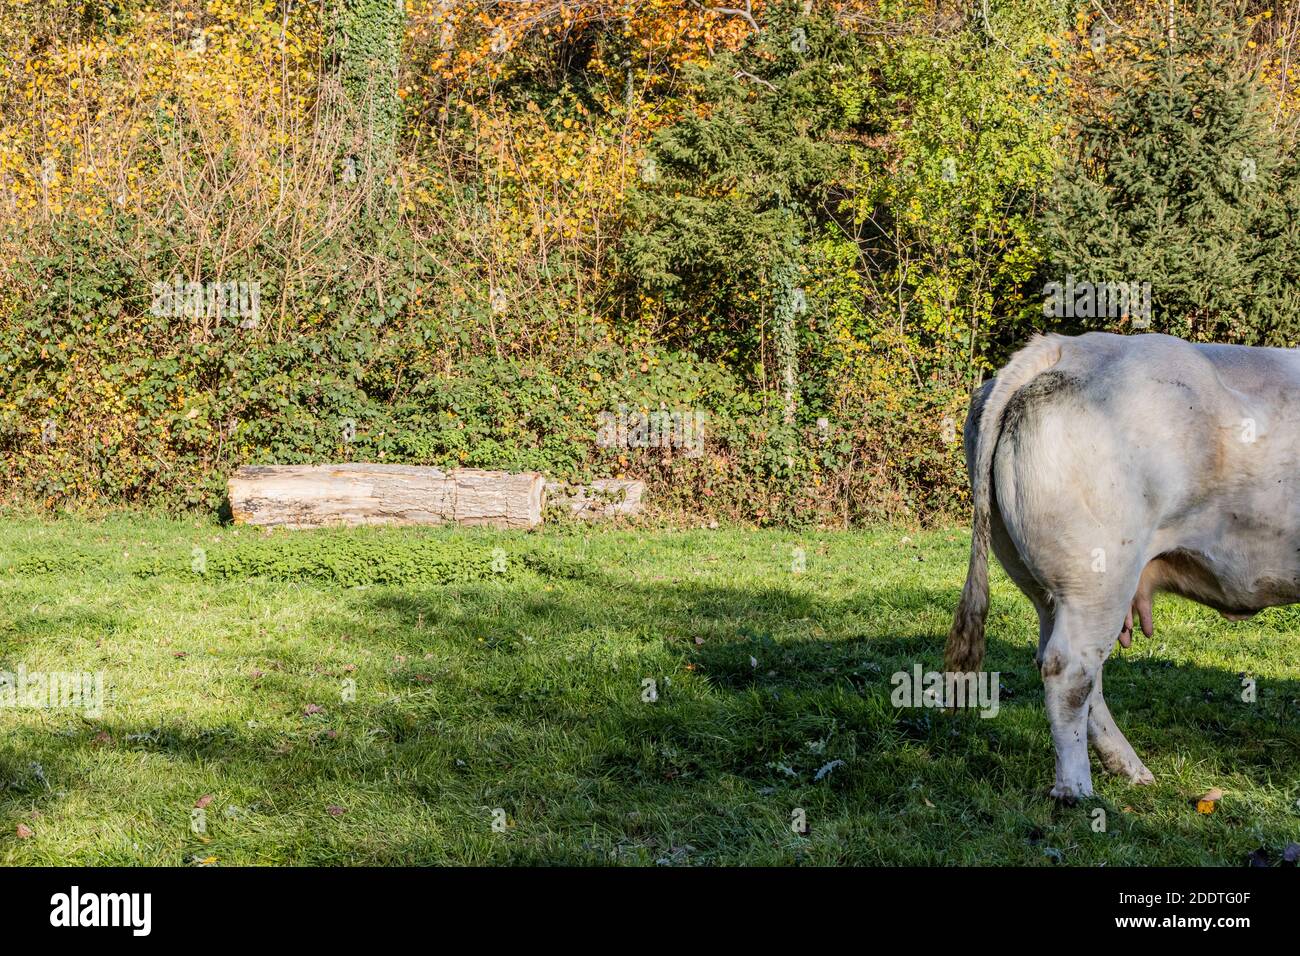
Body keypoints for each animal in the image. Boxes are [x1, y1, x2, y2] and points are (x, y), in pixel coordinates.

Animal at [946, 332, 1300, 806]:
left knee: (1074, 670)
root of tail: (1067, 346)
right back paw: (1076, 788)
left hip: (1047, 584)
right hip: (1098, 574)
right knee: (1069, 671)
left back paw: (1130, 768)